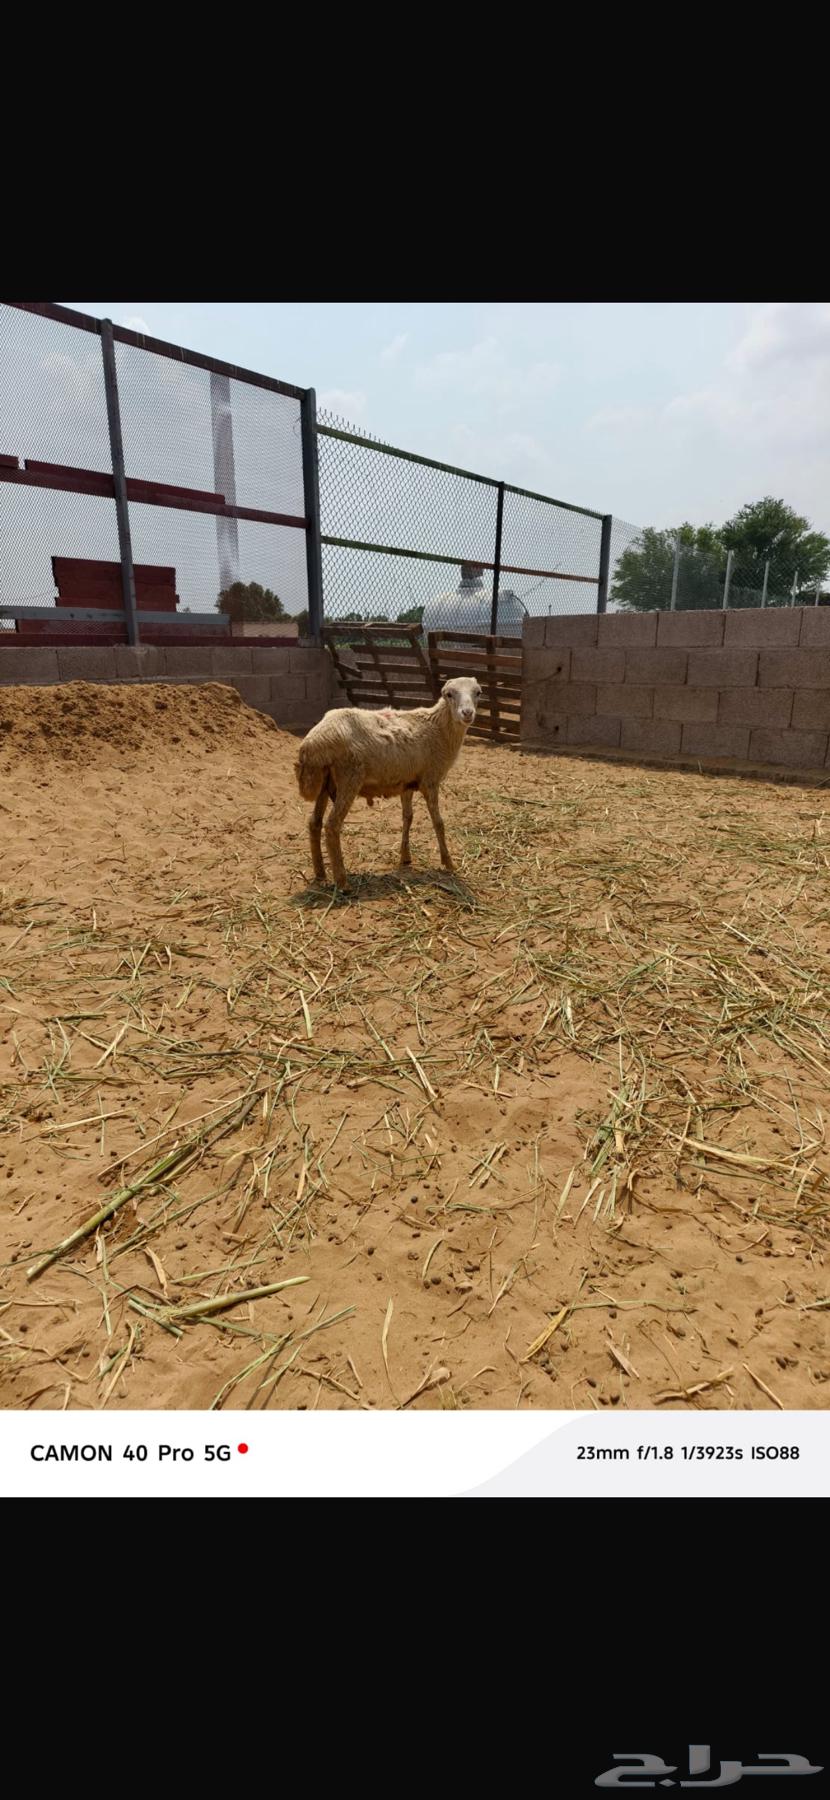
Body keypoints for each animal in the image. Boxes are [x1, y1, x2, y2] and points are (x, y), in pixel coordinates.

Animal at [294, 676, 482, 889]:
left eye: (478, 692)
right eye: (449, 694)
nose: (467, 713)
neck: (439, 728)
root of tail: (311, 743)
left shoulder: (407, 783)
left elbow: (408, 817)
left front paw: (405, 857)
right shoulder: (430, 781)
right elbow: (439, 823)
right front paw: (448, 863)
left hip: (324, 782)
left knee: (314, 823)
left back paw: (320, 874)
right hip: (349, 777)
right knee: (332, 826)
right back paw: (342, 883)